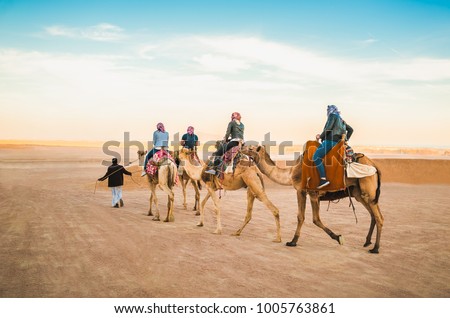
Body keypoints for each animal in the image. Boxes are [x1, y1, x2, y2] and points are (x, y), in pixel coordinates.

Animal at [244, 145, 384, 253]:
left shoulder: (307, 192)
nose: (241, 148)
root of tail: (375, 166)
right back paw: (367, 242)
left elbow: (309, 218)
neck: (292, 172)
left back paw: (375, 248)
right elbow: (309, 218)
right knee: (373, 215)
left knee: (379, 217)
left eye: (250, 148)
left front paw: (293, 241)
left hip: (368, 190)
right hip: (359, 193)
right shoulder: (309, 193)